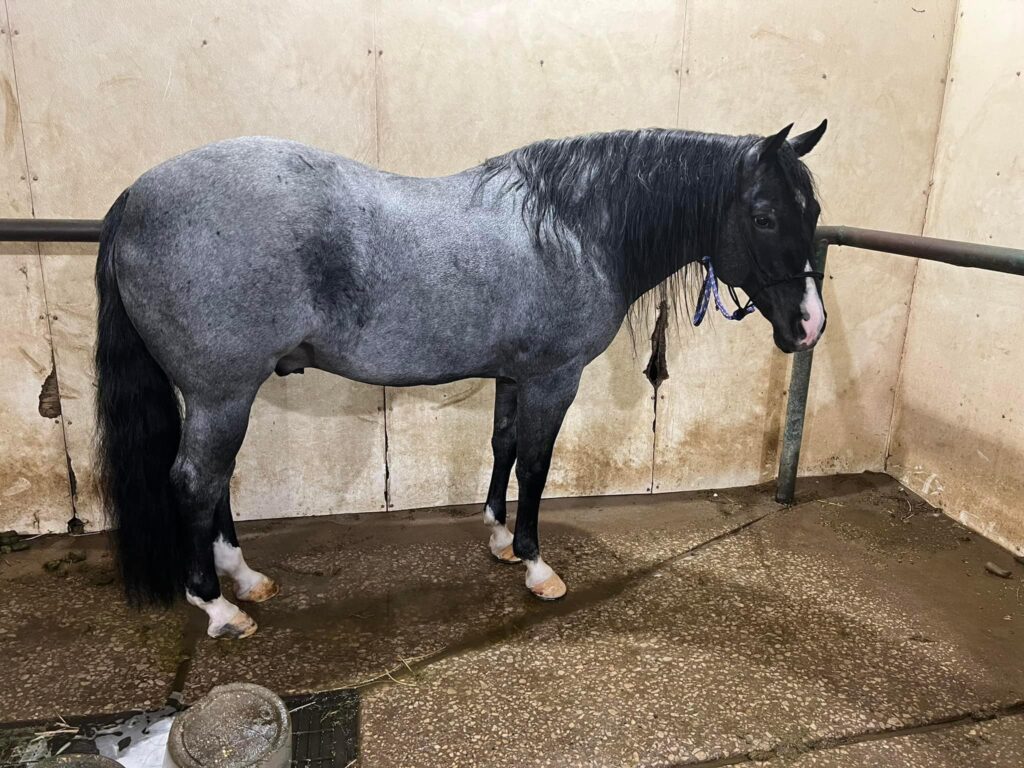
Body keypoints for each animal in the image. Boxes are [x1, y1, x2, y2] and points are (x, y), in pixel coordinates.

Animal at [96, 118, 827, 638]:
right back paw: (219, 607)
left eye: (813, 212)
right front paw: (536, 564)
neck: (573, 228)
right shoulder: (553, 379)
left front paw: (500, 539)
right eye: (765, 215)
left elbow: (503, 447)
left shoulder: (514, 375)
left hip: (218, 393)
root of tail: (133, 197)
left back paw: (243, 578)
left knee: (212, 479)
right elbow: (536, 463)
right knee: (195, 480)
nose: (809, 325)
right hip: (223, 392)